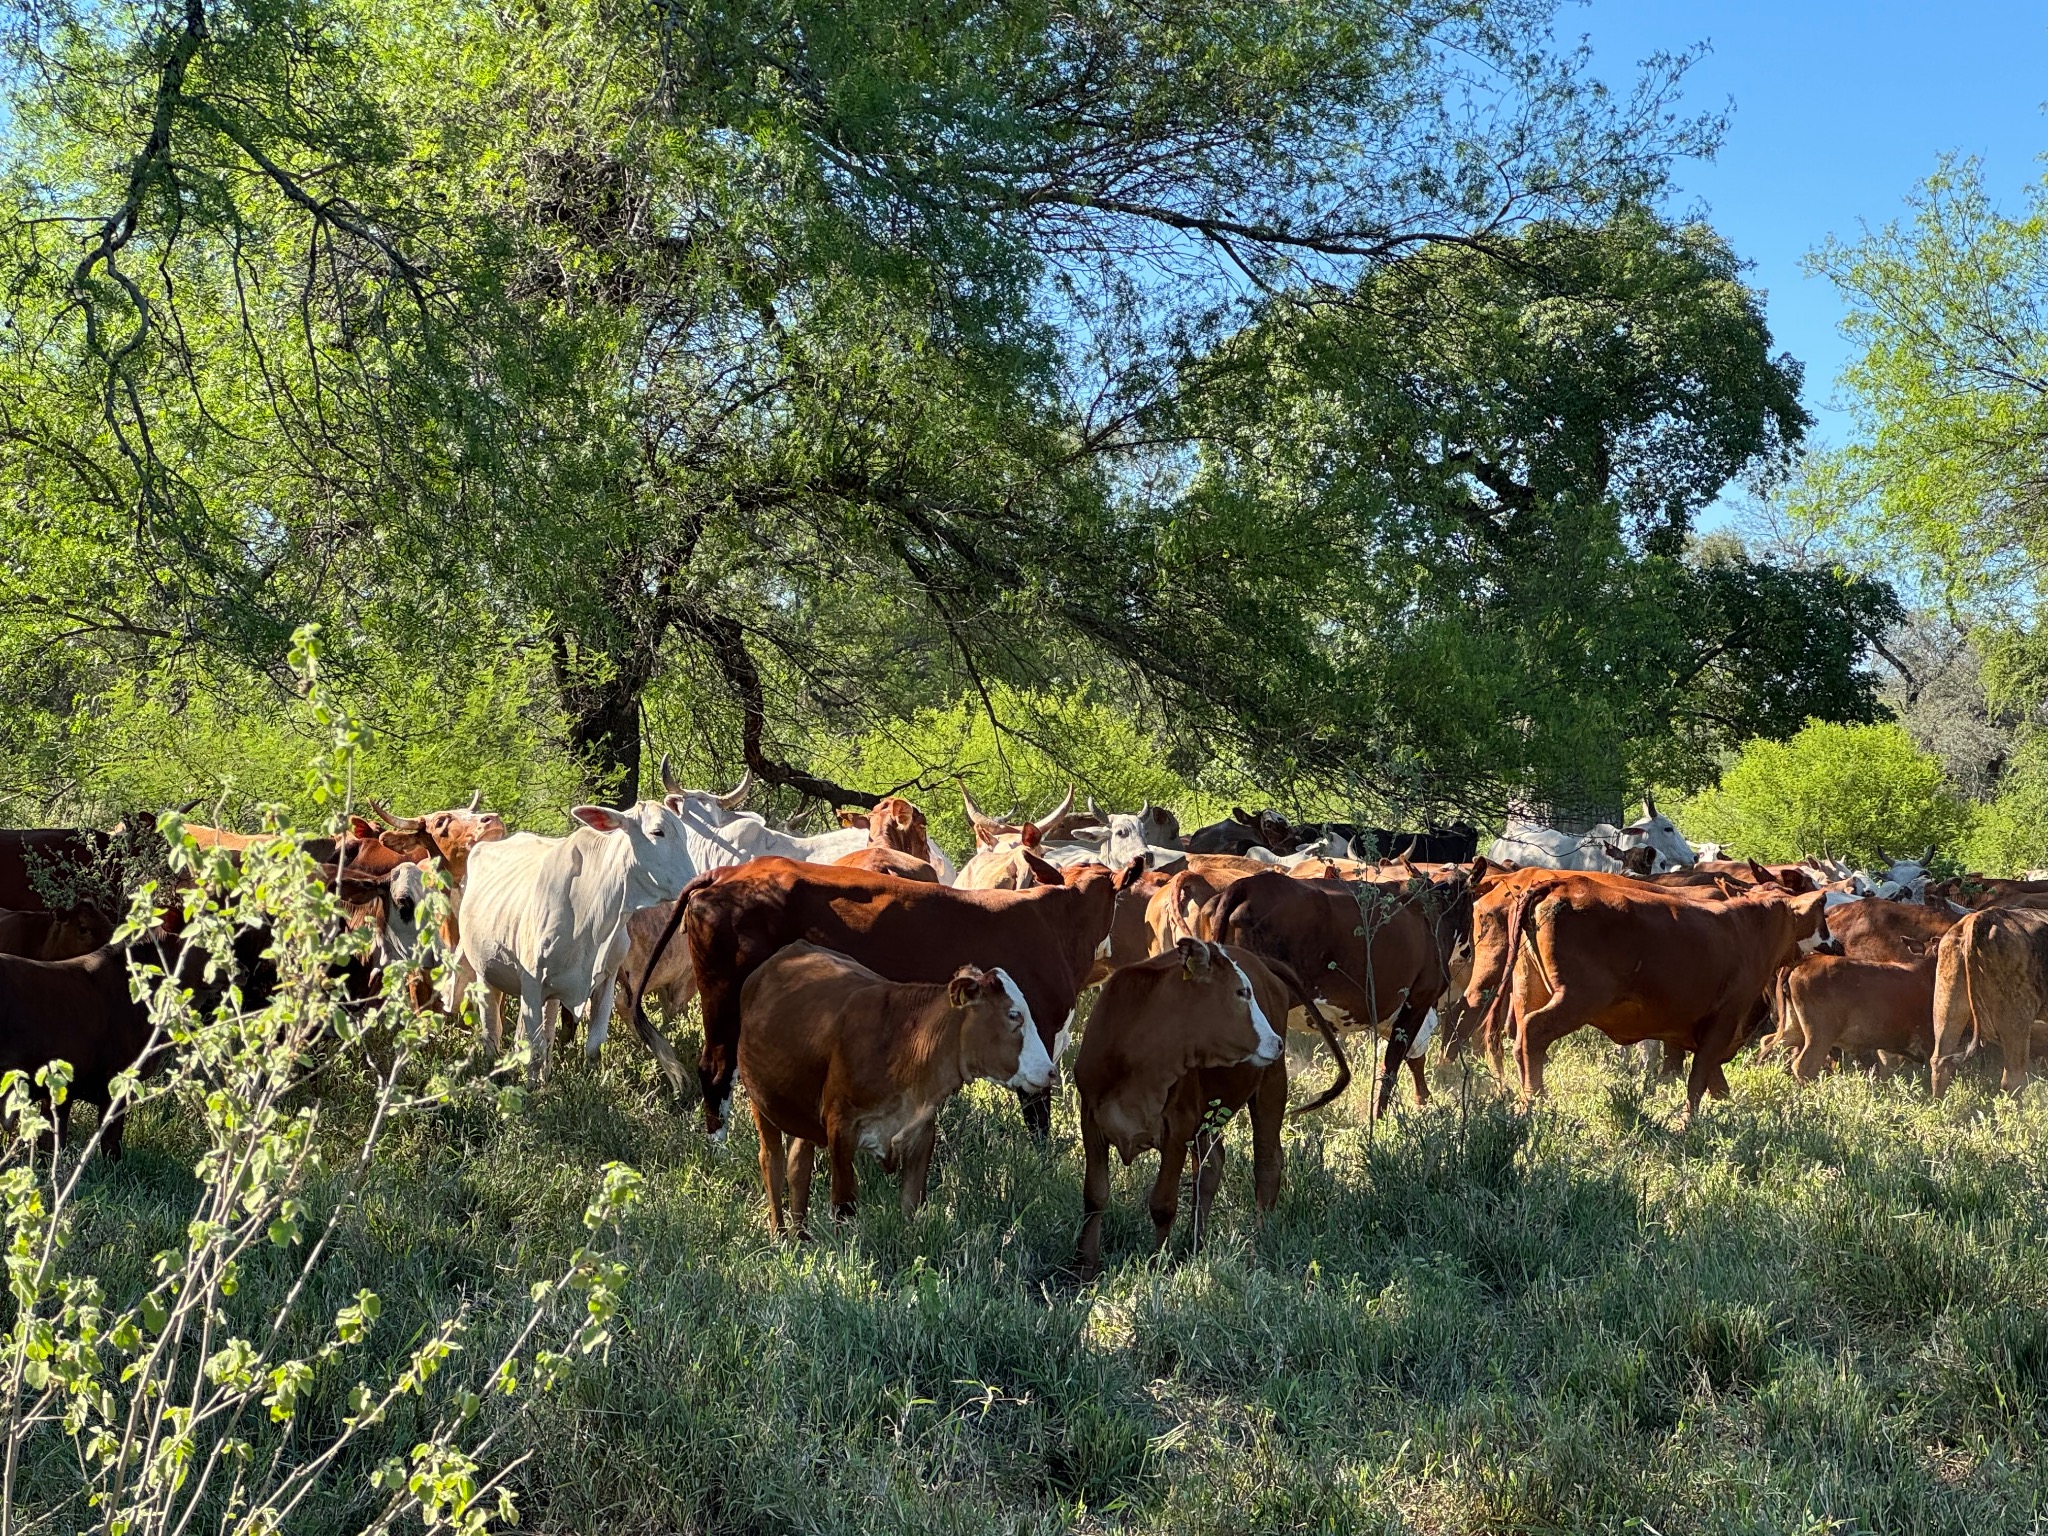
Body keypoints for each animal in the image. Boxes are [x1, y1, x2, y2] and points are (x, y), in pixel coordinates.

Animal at [448, 799, 702, 1084]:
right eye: (658, 832)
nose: (694, 884)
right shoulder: (532, 983)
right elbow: (534, 1046)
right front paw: (532, 1087)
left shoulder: (606, 980)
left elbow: (593, 1045)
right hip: (484, 972)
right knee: (492, 1028)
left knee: (547, 1029)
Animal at [651, 856, 1131, 1139]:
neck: (1059, 920)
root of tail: (726, 874)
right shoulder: (1037, 1034)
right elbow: (1037, 1108)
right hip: (723, 999)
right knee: (716, 1069)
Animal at [737, 944, 1054, 1234]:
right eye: (1013, 1015)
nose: (1050, 1070)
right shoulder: (840, 1127)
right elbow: (844, 1206)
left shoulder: (922, 1130)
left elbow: (911, 1205)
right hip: (760, 1102)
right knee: (773, 1163)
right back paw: (779, 1235)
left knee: (798, 1165)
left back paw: (801, 1236)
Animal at [1073, 940, 1348, 1279]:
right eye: (1241, 992)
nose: (1276, 1042)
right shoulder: (1091, 1120)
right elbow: (1095, 1195)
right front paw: (1084, 1268)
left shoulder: (1178, 1126)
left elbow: (1162, 1204)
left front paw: (1157, 1266)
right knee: (1211, 1167)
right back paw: (1194, 1245)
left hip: (1271, 1082)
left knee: (1266, 1163)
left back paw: (1258, 1243)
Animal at [1484, 876, 1827, 1118]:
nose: (1830, 942)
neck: (1747, 929)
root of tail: (1561, 883)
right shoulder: (1725, 1018)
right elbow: (1698, 1076)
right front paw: (1688, 1122)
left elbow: (1714, 1081)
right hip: (1576, 997)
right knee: (1534, 1031)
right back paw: (1536, 1101)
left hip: (1528, 987)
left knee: (1519, 1040)